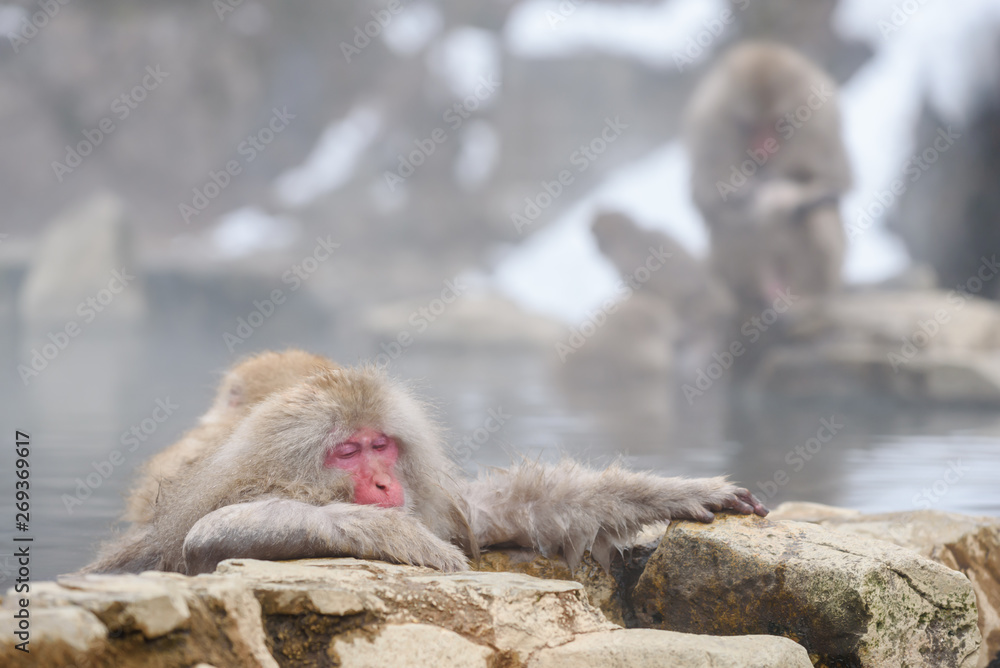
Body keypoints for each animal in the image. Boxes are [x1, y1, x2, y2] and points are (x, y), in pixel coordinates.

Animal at [81, 351, 768, 576]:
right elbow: (204, 536)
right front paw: (391, 535)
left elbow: (500, 510)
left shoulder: (439, 502)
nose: (385, 482)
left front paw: (679, 491)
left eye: (380, 445)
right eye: (347, 452)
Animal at [684, 41, 851, 317]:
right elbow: (708, 198)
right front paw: (761, 195)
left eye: (776, 123)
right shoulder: (709, 124)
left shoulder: (822, 118)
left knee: (823, 211)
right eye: (751, 125)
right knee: (732, 224)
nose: (764, 146)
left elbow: (835, 180)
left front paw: (783, 195)